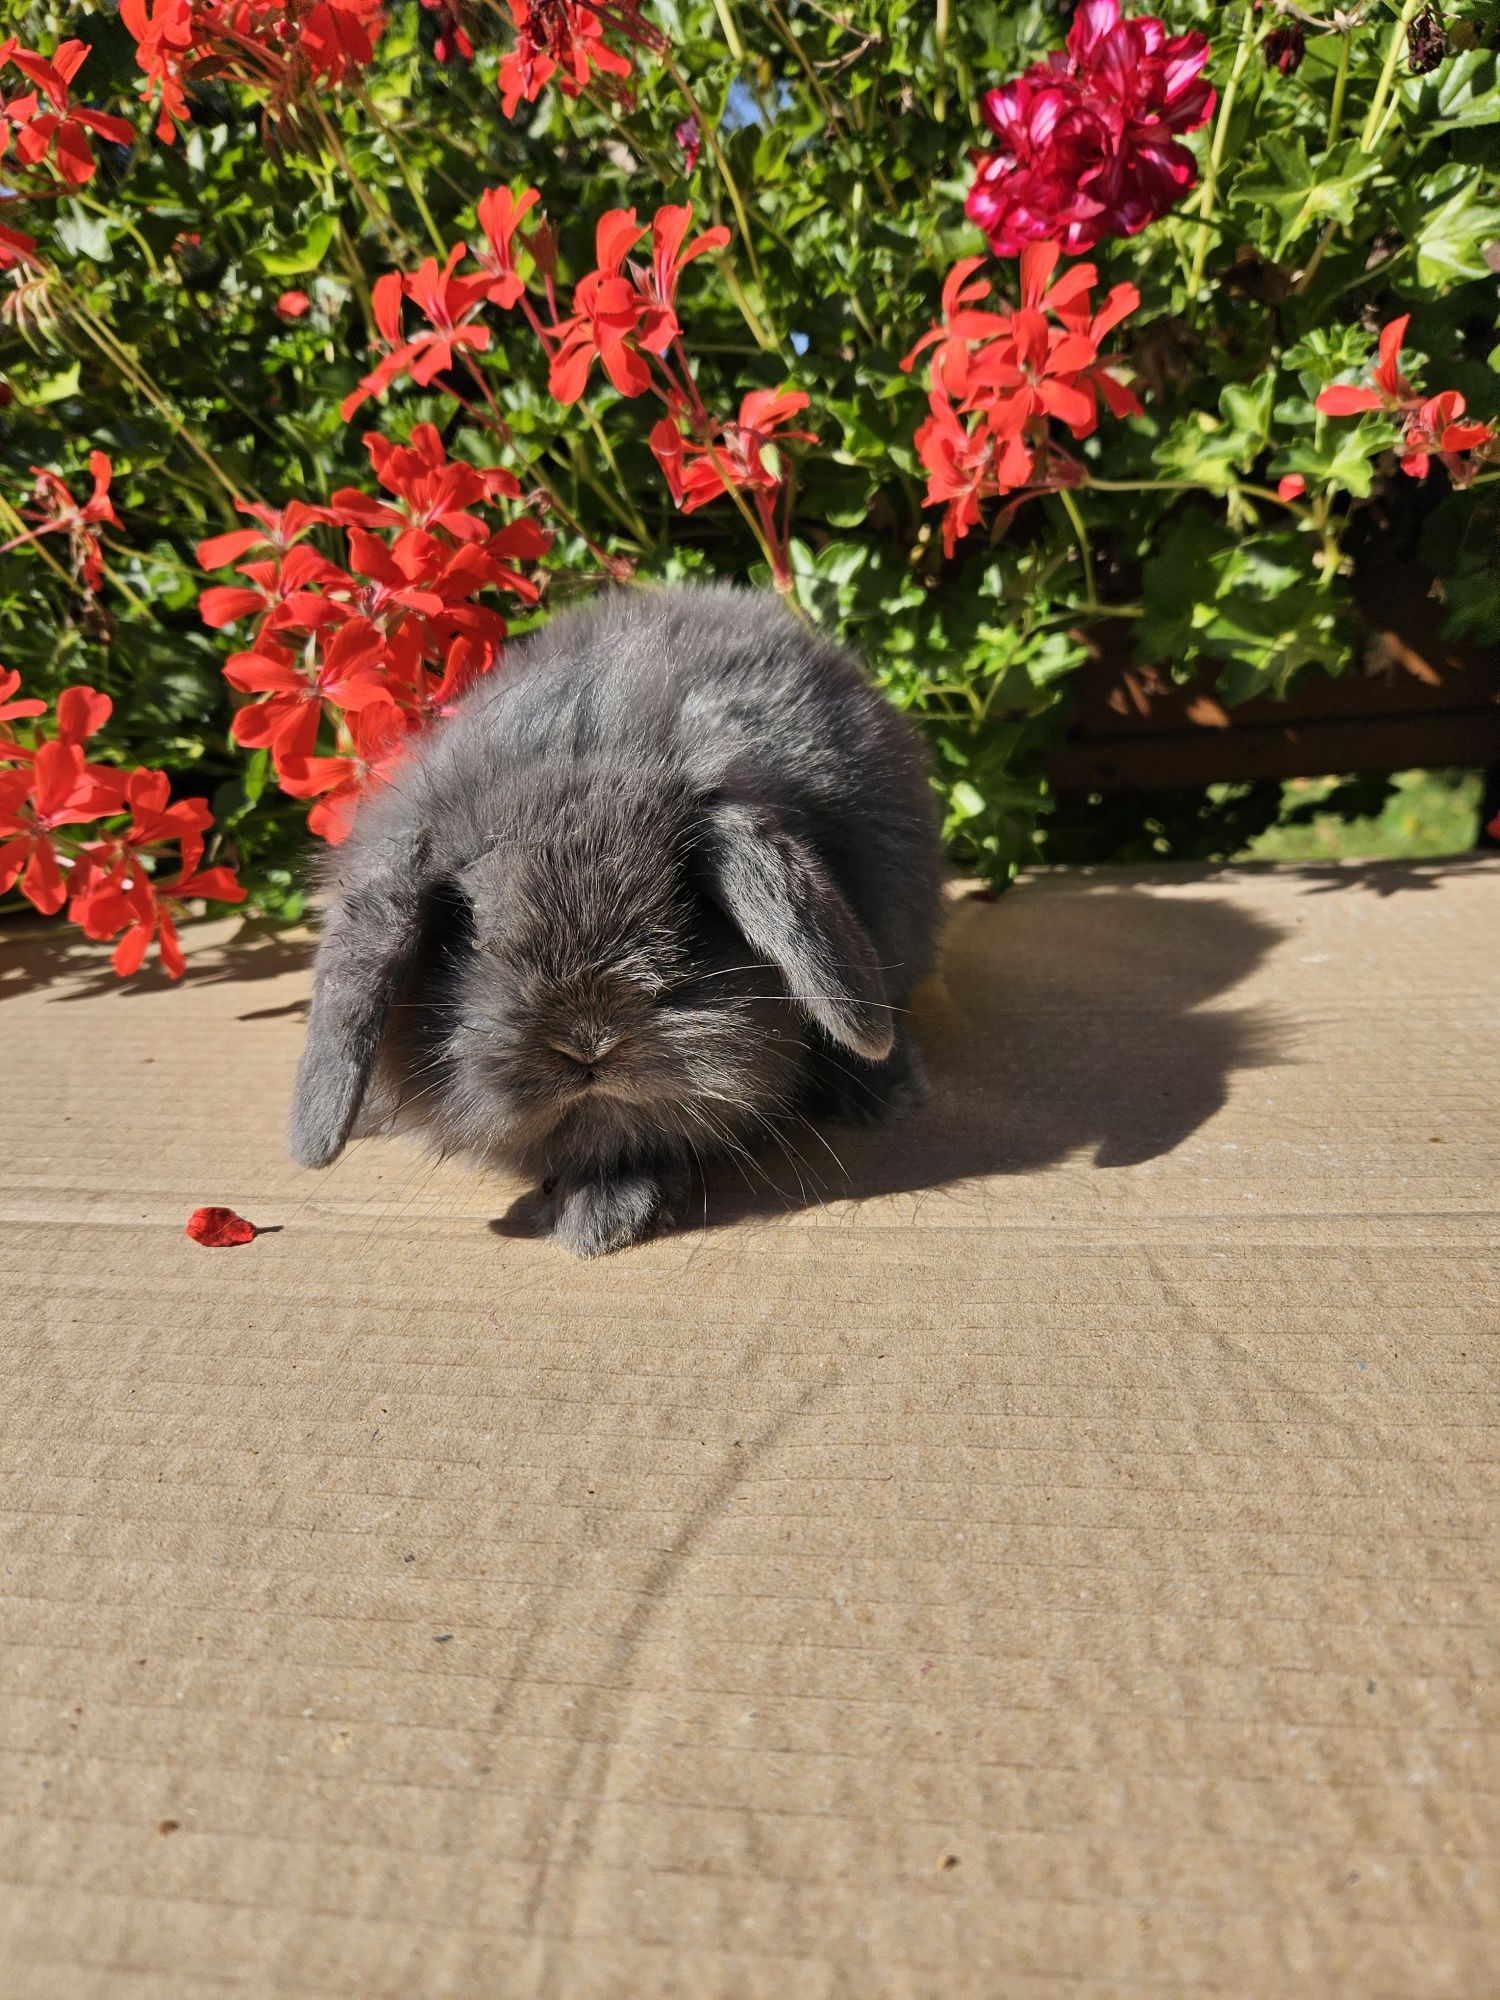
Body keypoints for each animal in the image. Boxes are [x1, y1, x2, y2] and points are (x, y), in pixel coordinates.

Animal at [290, 580, 944, 1256]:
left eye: (684, 900)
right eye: (465, 925)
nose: (587, 1042)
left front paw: (604, 1218)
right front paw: (604, 1213)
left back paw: (879, 1094)